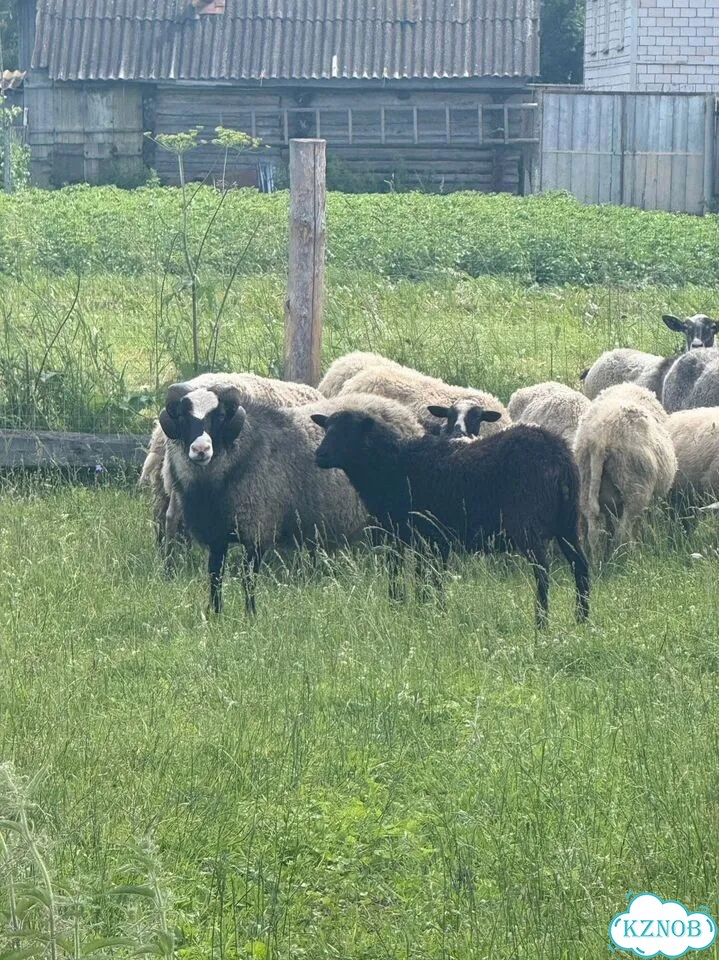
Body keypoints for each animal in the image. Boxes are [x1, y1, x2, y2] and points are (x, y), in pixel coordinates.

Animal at [140, 372, 322, 554]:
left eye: (220, 416)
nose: (201, 449)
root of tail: (159, 436)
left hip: (167, 484)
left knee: (166, 518)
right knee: (174, 517)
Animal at [159, 385, 422, 614]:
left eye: (220, 416)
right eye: (182, 417)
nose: (201, 450)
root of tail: (409, 418)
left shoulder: (258, 529)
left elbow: (248, 579)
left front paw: (250, 617)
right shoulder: (216, 535)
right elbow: (215, 577)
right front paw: (216, 615)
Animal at [312, 402, 590, 627]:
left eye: (349, 432)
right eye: (327, 428)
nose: (319, 455)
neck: (394, 465)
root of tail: (558, 455)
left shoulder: (405, 533)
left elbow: (407, 574)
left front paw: (405, 609)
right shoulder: (436, 538)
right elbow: (433, 577)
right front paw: (435, 611)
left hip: (526, 524)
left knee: (542, 571)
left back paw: (541, 623)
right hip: (568, 522)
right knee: (581, 565)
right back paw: (582, 619)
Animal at [573, 383, 677, 561]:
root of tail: (599, 438)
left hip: (586, 481)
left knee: (594, 529)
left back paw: (597, 561)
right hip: (634, 487)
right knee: (623, 532)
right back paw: (628, 559)